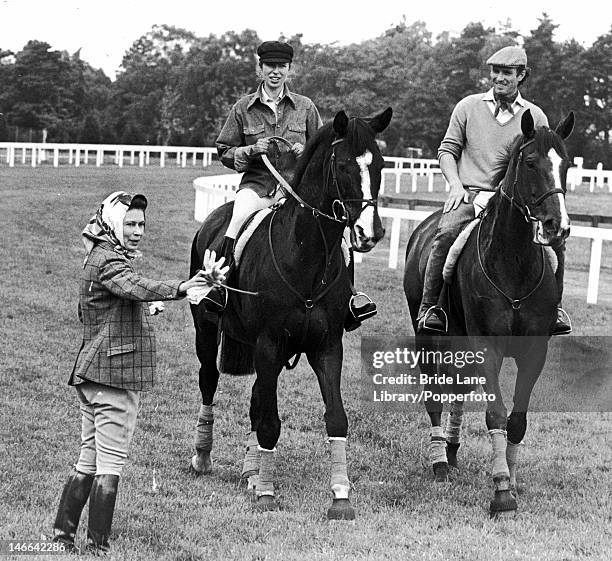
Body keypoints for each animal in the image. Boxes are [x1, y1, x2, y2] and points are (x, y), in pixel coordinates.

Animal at [190, 107, 392, 520]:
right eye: (344, 165)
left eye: (379, 165)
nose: (370, 232)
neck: (304, 255)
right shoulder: (268, 346)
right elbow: (270, 422)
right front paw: (267, 494)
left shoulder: (326, 348)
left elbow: (336, 417)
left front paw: (340, 495)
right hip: (207, 330)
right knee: (209, 381)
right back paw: (203, 457)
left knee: (256, 397)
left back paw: (251, 472)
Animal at [406, 110, 572, 516]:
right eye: (531, 163)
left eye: (567, 165)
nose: (557, 226)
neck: (513, 265)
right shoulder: (488, 348)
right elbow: (495, 413)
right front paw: (501, 492)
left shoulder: (534, 352)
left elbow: (517, 421)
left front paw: (510, 478)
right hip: (427, 339)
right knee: (435, 395)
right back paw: (439, 461)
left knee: (458, 388)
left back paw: (451, 451)